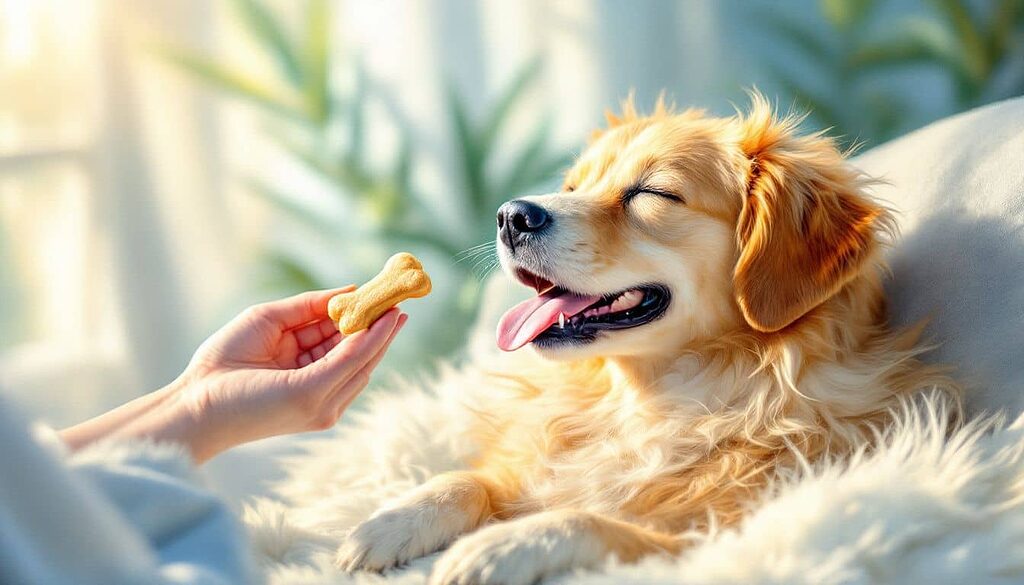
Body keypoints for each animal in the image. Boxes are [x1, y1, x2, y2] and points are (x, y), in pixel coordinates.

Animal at [335, 94, 958, 585]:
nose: (511, 215)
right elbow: (468, 479)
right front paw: (389, 521)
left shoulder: (714, 531)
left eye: (651, 193)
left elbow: (589, 519)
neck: (648, 400)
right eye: (572, 186)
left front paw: (500, 545)